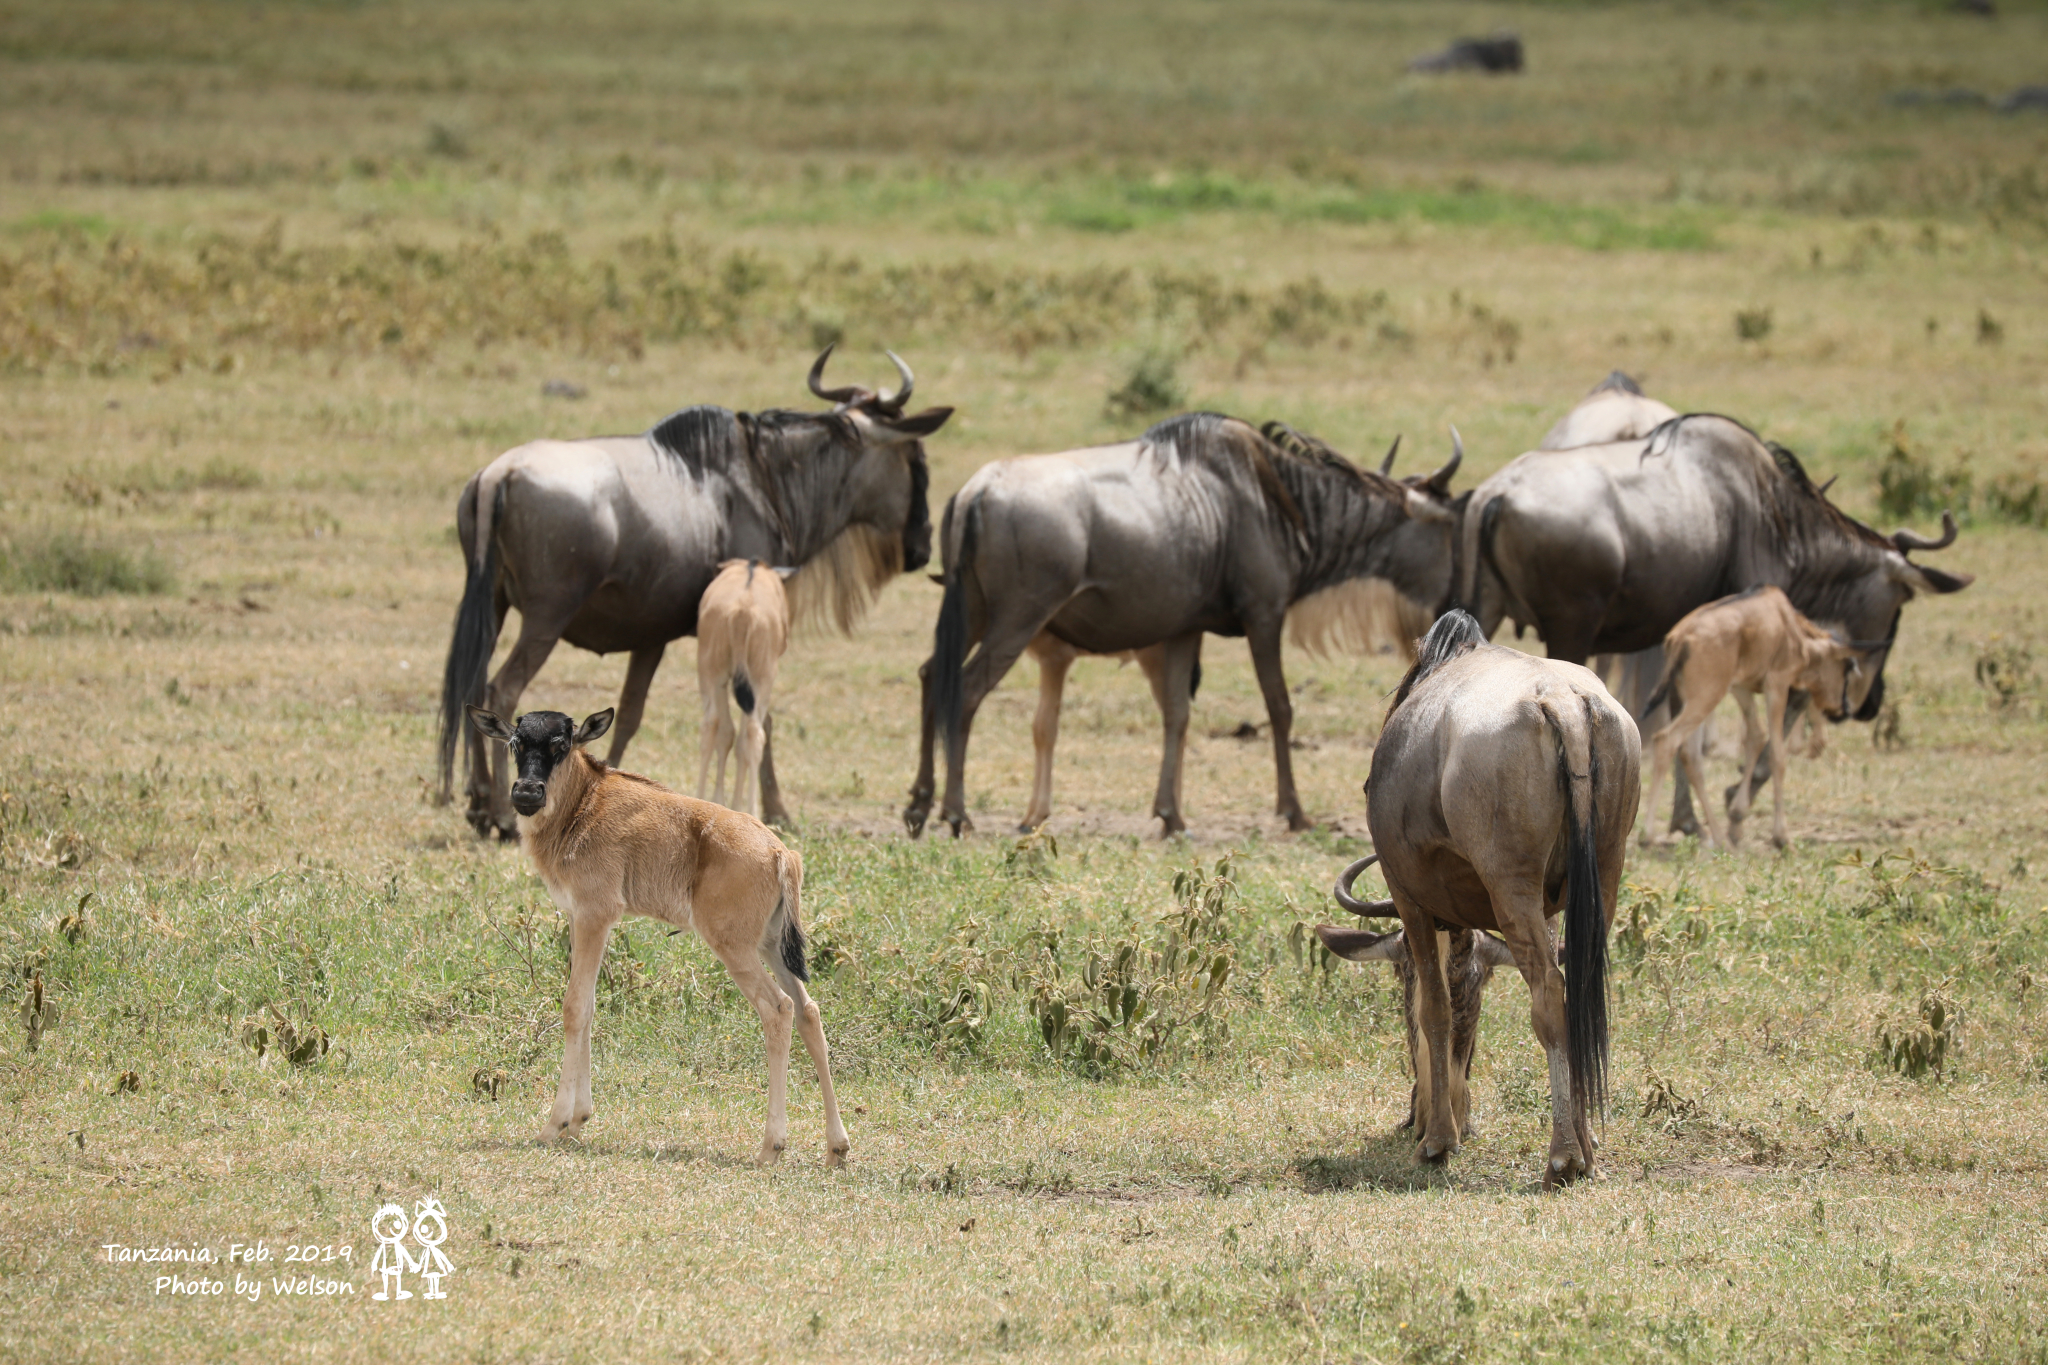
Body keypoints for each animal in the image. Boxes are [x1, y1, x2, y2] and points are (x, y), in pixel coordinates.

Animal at [468, 703, 847, 1162]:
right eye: (515, 743)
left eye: (562, 744)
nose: (526, 794)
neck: (584, 803)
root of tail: (780, 852)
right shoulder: (580, 918)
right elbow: (589, 1007)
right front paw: (578, 1121)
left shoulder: (595, 914)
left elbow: (574, 1007)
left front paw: (554, 1125)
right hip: (771, 946)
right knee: (809, 1011)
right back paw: (837, 1148)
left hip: (734, 948)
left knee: (778, 1009)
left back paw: (770, 1147)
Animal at [696, 556, 790, 818]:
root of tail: (742, 611)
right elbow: (742, 742)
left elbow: (728, 735)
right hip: (761, 679)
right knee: (754, 734)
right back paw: (752, 811)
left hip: (712, 674)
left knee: (712, 725)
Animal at [1638, 589, 1875, 855]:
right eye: (1848, 666)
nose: (1844, 709)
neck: (1788, 625)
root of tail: (1679, 638)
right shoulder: (1777, 685)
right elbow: (1777, 756)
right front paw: (1782, 838)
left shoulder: (1740, 687)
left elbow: (1755, 737)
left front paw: (1737, 816)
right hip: (1705, 698)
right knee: (1666, 740)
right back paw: (1649, 836)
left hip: (1692, 699)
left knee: (1690, 754)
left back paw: (1720, 837)